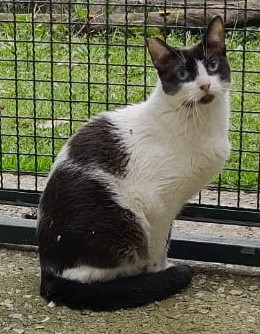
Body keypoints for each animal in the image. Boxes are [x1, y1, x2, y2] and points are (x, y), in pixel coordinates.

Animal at [37, 17, 232, 312]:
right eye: (183, 75)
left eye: (212, 66)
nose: (205, 86)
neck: (199, 120)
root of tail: (47, 272)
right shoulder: (158, 203)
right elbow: (160, 245)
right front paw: (160, 270)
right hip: (123, 219)